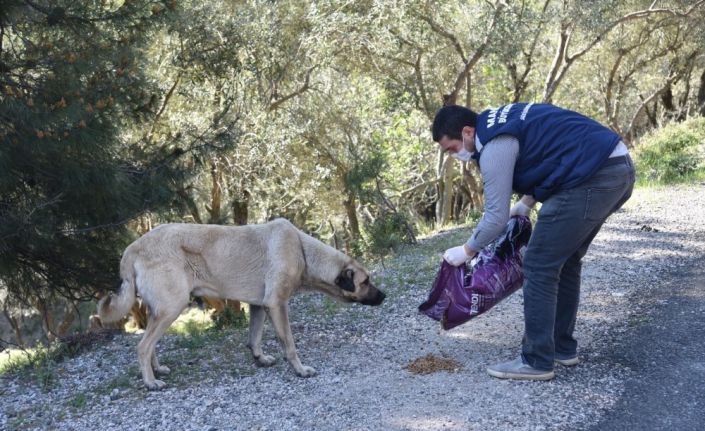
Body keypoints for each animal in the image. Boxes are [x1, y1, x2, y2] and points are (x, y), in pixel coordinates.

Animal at [95, 218, 382, 390]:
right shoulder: (277, 304)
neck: (302, 251)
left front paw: (260, 358)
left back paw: (157, 370)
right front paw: (300, 370)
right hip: (172, 307)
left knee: (149, 344)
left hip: (160, 311)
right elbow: (289, 345)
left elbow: (254, 338)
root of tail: (131, 249)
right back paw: (150, 382)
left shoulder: (259, 306)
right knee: (143, 346)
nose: (384, 296)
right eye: (366, 281)